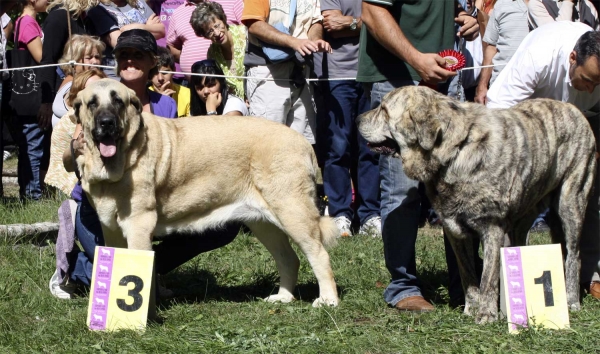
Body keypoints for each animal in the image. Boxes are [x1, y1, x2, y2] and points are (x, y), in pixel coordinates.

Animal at [71, 79, 338, 306]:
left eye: (118, 101)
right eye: (92, 103)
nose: (106, 122)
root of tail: (303, 142)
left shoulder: (138, 224)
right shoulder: (111, 229)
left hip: (293, 211)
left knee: (319, 254)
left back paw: (327, 300)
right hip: (263, 223)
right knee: (288, 258)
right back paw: (283, 297)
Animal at [356, 85, 596, 324]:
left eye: (384, 110)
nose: (357, 119)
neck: (455, 151)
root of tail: (573, 108)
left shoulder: (492, 227)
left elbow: (487, 277)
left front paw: (486, 314)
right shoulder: (455, 230)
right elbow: (468, 275)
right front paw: (471, 308)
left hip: (571, 201)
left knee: (574, 254)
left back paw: (571, 301)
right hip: (525, 212)